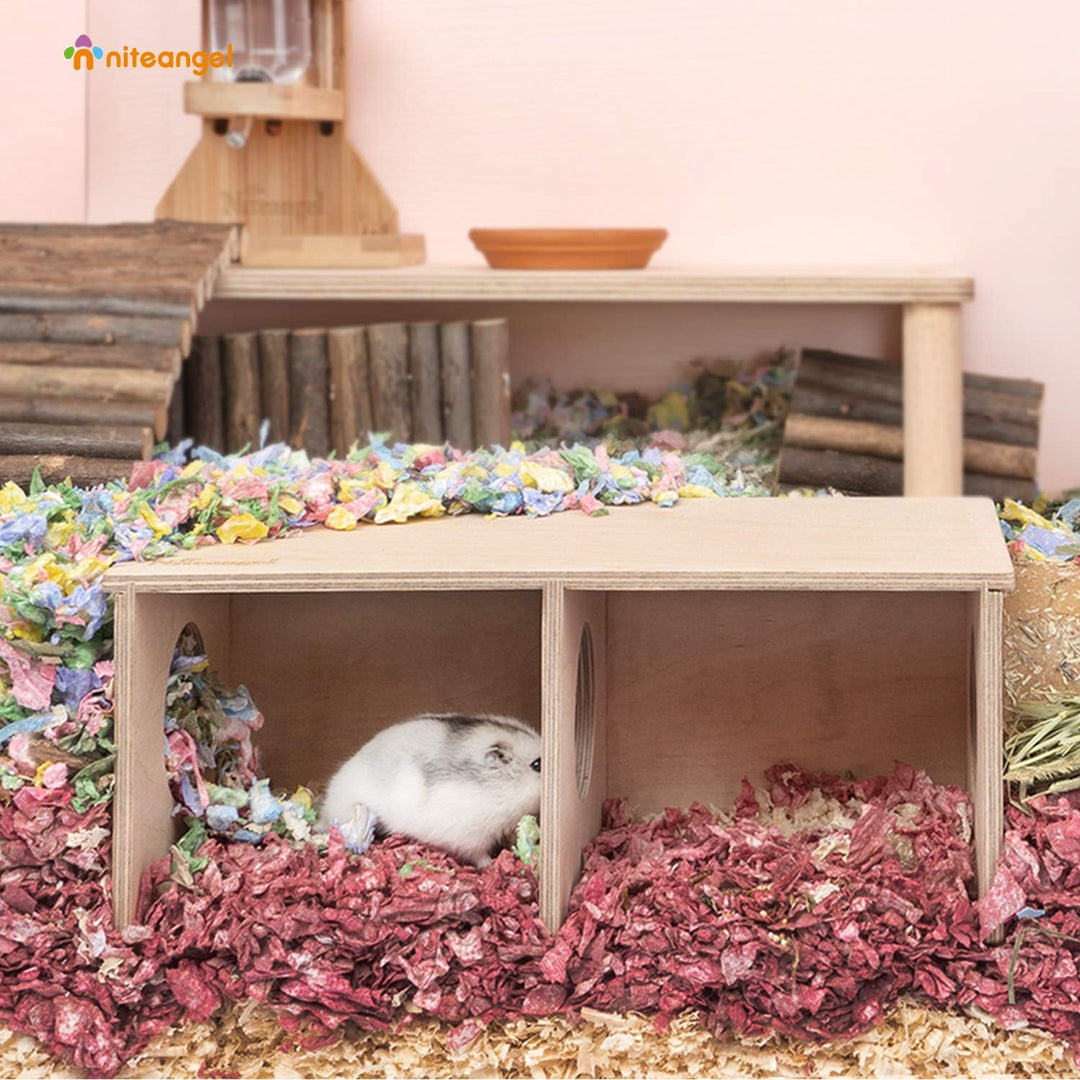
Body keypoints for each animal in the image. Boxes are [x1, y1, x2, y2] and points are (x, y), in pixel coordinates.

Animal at [319, 713, 541, 866]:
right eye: (537, 765)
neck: (501, 788)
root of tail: (325, 810)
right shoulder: (470, 838)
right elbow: (478, 855)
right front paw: (490, 865)